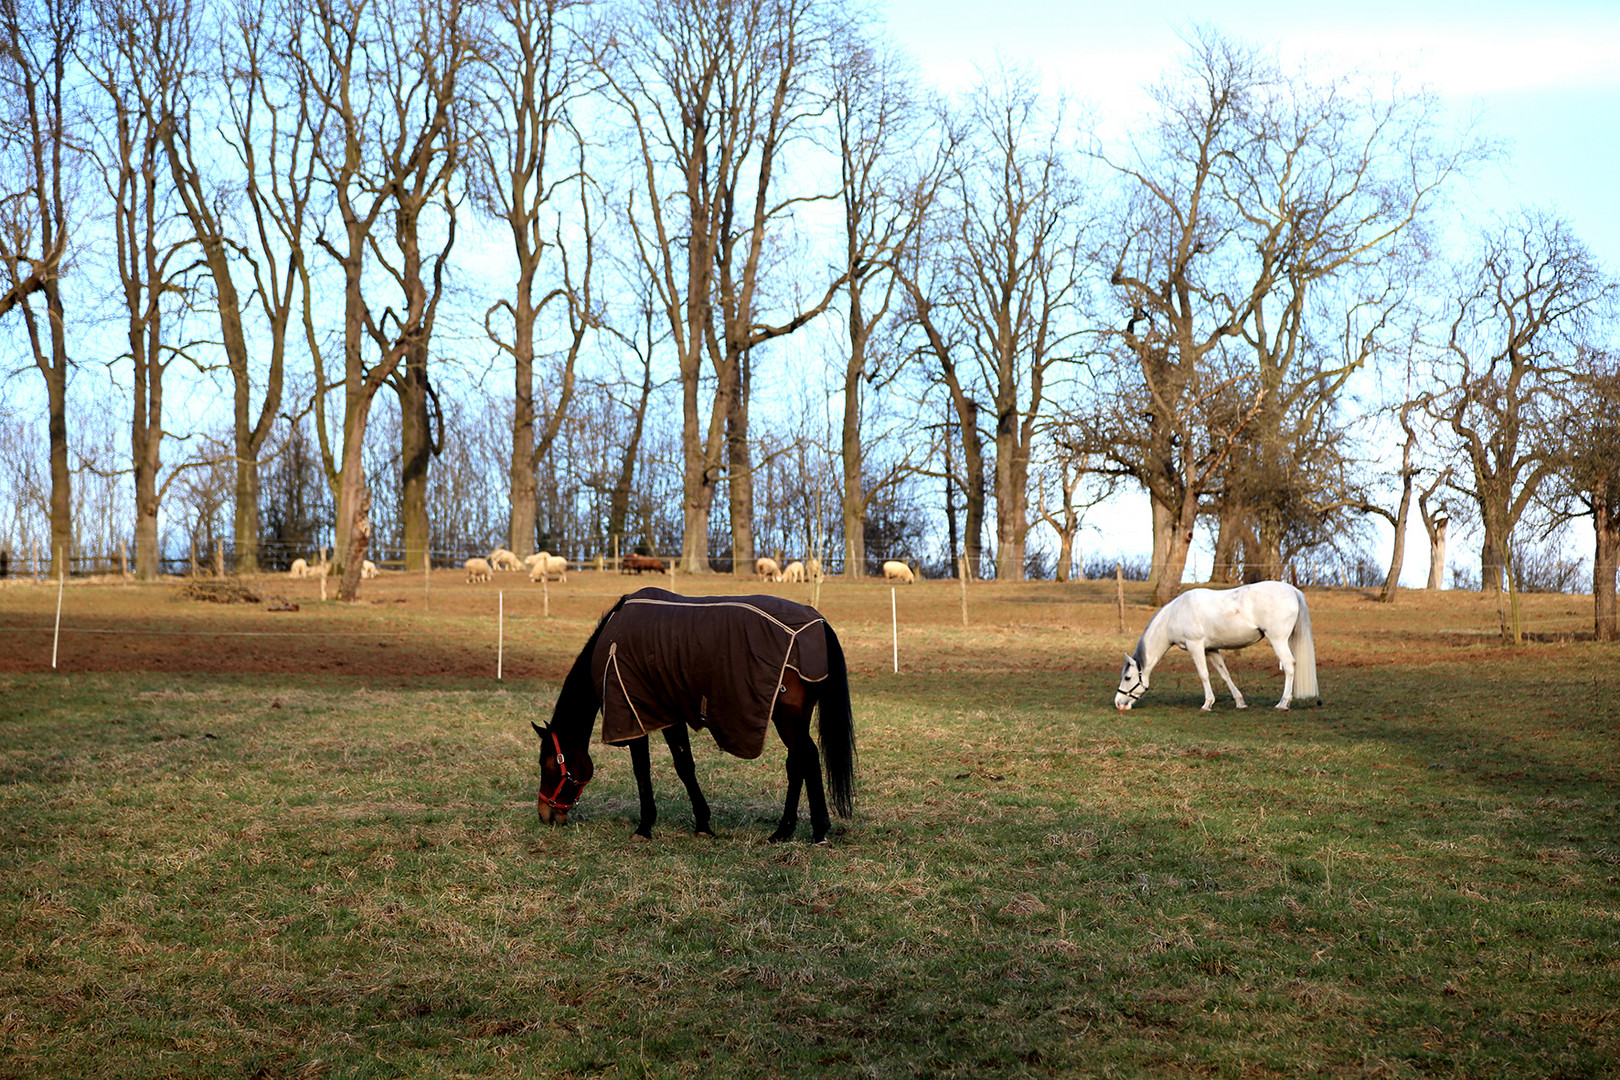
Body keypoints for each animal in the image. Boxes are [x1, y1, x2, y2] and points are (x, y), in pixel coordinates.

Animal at [534, 592, 861, 841]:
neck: (613, 643)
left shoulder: (633, 715)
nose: (545, 814)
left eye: (547, 765)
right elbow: (685, 766)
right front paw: (703, 824)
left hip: (788, 718)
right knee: (799, 763)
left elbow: (644, 770)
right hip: (795, 719)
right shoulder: (668, 712)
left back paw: (810, 831)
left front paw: (645, 826)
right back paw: (791, 831)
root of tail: (818, 623)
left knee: (806, 758)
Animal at [1114, 582, 1315, 709]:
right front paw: (1240, 702)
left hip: (1278, 640)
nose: (1118, 703)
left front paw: (1207, 703)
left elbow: (1203, 674)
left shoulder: (1195, 646)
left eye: (1128, 678)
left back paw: (1283, 703)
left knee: (1289, 665)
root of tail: (1293, 591)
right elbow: (1224, 674)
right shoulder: (1210, 649)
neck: (1174, 615)